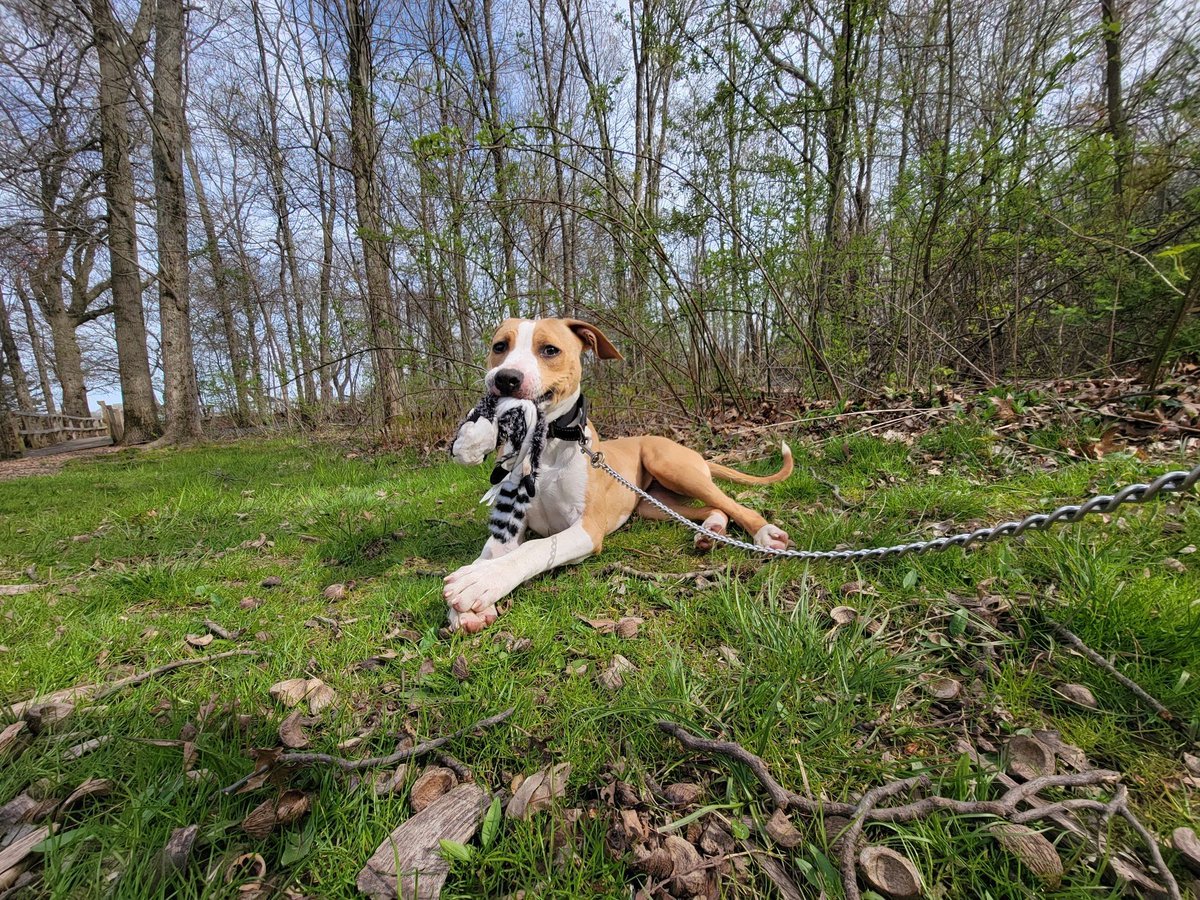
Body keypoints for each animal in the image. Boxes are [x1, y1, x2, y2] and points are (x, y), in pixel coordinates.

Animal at [446, 316, 792, 633]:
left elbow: (536, 547)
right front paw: (474, 591)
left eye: (549, 350)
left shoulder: (588, 528)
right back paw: (712, 529)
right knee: (712, 507)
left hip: (669, 465)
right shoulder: (511, 522)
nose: (506, 378)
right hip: (653, 505)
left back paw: (764, 533)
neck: (546, 444)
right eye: (499, 347)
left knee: (732, 503)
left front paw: (480, 580)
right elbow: (491, 551)